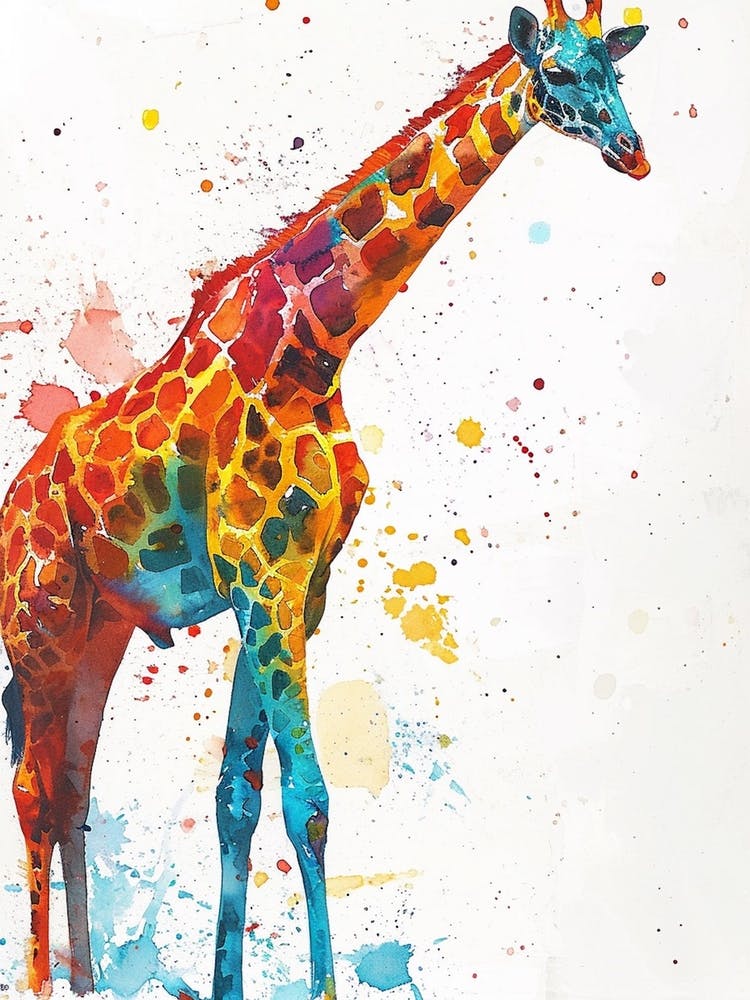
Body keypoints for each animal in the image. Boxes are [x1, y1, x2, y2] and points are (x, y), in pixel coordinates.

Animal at [0, 3, 648, 998]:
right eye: (560, 75)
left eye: (614, 73)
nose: (632, 151)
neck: (316, 346)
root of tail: (11, 506)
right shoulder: (262, 580)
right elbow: (307, 799)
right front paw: (318, 986)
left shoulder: (296, 588)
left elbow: (237, 797)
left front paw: (227, 985)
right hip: (39, 623)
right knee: (34, 793)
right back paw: (43, 981)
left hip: (100, 632)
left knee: (74, 790)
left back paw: (85, 979)